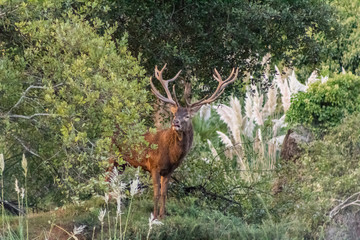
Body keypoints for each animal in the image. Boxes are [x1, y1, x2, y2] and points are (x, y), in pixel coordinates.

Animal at [113, 64, 236, 218]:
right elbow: (156, 193)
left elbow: (164, 193)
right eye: (174, 113)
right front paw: (154, 215)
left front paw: (162, 215)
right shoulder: (153, 166)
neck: (171, 153)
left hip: (121, 163)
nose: (175, 122)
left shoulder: (169, 170)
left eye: (187, 116)